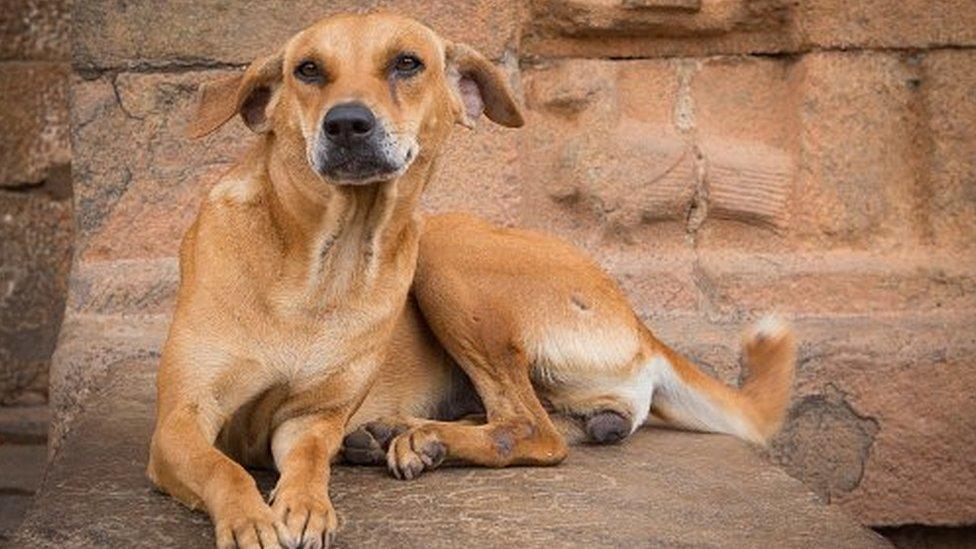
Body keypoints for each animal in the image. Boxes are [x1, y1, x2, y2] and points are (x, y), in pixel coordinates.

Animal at [148, 12, 524, 548]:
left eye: (407, 63)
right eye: (307, 69)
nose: (346, 123)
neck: (323, 266)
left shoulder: (309, 420)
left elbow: (309, 461)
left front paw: (307, 506)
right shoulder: (182, 419)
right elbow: (223, 468)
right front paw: (248, 520)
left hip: (447, 267)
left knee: (527, 428)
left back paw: (417, 439)